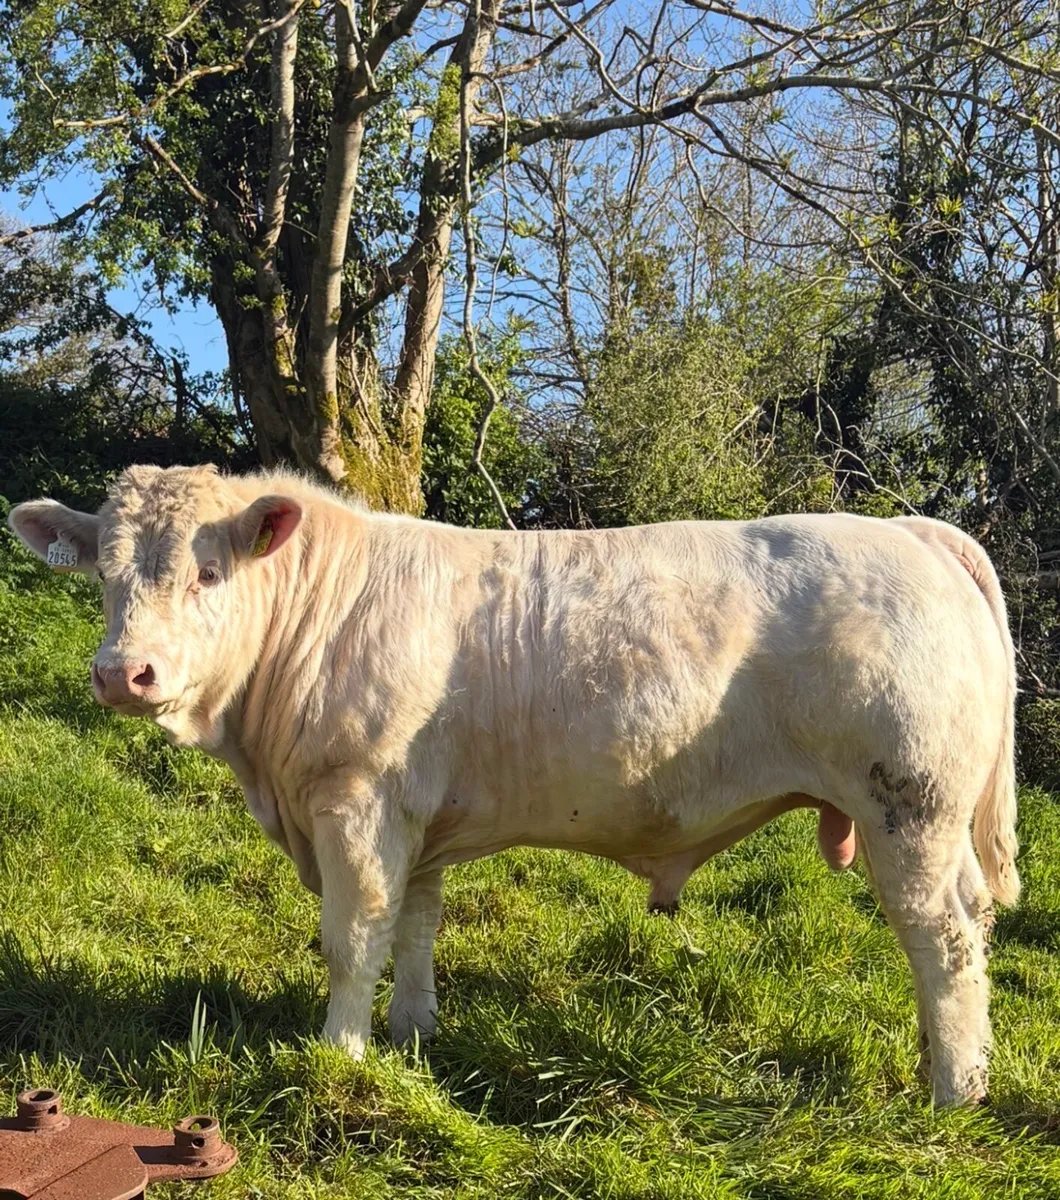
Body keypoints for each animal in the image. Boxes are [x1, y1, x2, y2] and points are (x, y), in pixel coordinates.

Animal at [8, 465, 1019, 1105]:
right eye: (104, 574)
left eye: (208, 571)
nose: (122, 673)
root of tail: (907, 530)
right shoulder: (415, 813)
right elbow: (414, 925)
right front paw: (411, 1035)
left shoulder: (356, 799)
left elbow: (352, 938)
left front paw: (340, 1055)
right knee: (971, 925)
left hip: (910, 804)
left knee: (944, 941)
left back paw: (955, 1089)